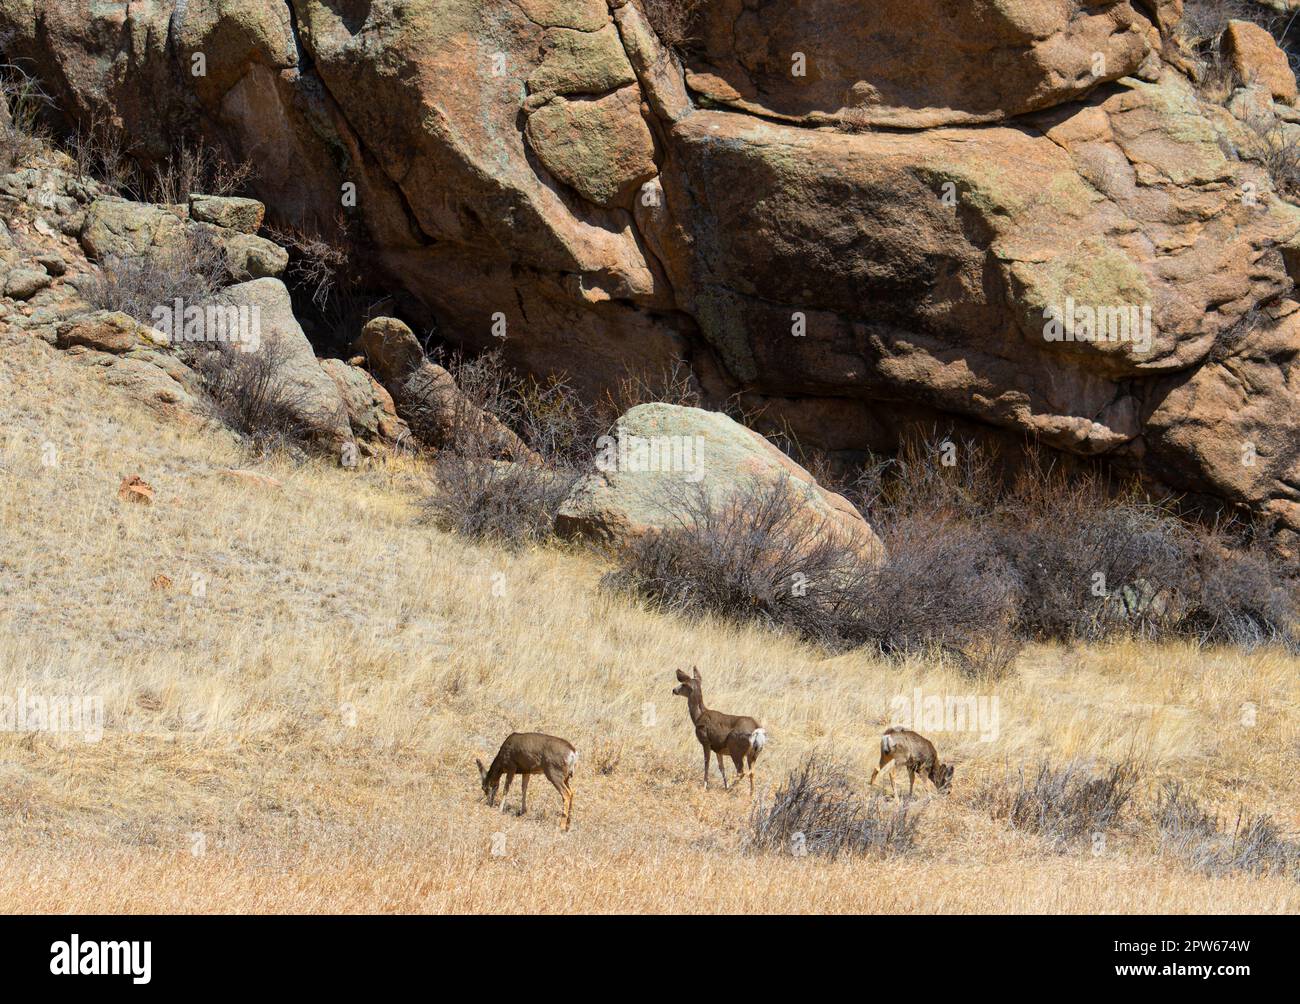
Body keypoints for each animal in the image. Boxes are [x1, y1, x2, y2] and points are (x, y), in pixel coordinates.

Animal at [676, 663, 764, 795]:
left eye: (684, 684)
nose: (674, 690)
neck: (698, 717)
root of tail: (757, 731)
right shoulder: (718, 748)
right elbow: (721, 767)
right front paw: (725, 785)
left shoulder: (706, 741)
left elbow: (706, 763)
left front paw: (705, 785)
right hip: (754, 754)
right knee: (752, 773)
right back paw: (750, 794)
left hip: (736, 749)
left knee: (741, 772)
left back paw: (731, 790)